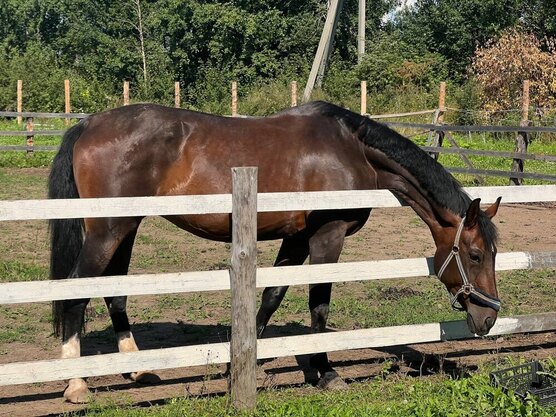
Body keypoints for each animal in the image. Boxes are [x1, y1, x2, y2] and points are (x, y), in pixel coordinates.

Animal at [48, 101, 502, 403]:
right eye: (475, 254)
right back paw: (76, 384)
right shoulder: (328, 236)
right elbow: (319, 303)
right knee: (76, 292)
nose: (489, 317)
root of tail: (89, 124)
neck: (351, 149)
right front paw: (325, 372)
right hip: (108, 230)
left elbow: (272, 296)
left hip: (126, 226)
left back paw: (135, 368)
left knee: (114, 292)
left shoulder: (295, 238)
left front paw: (244, 365)